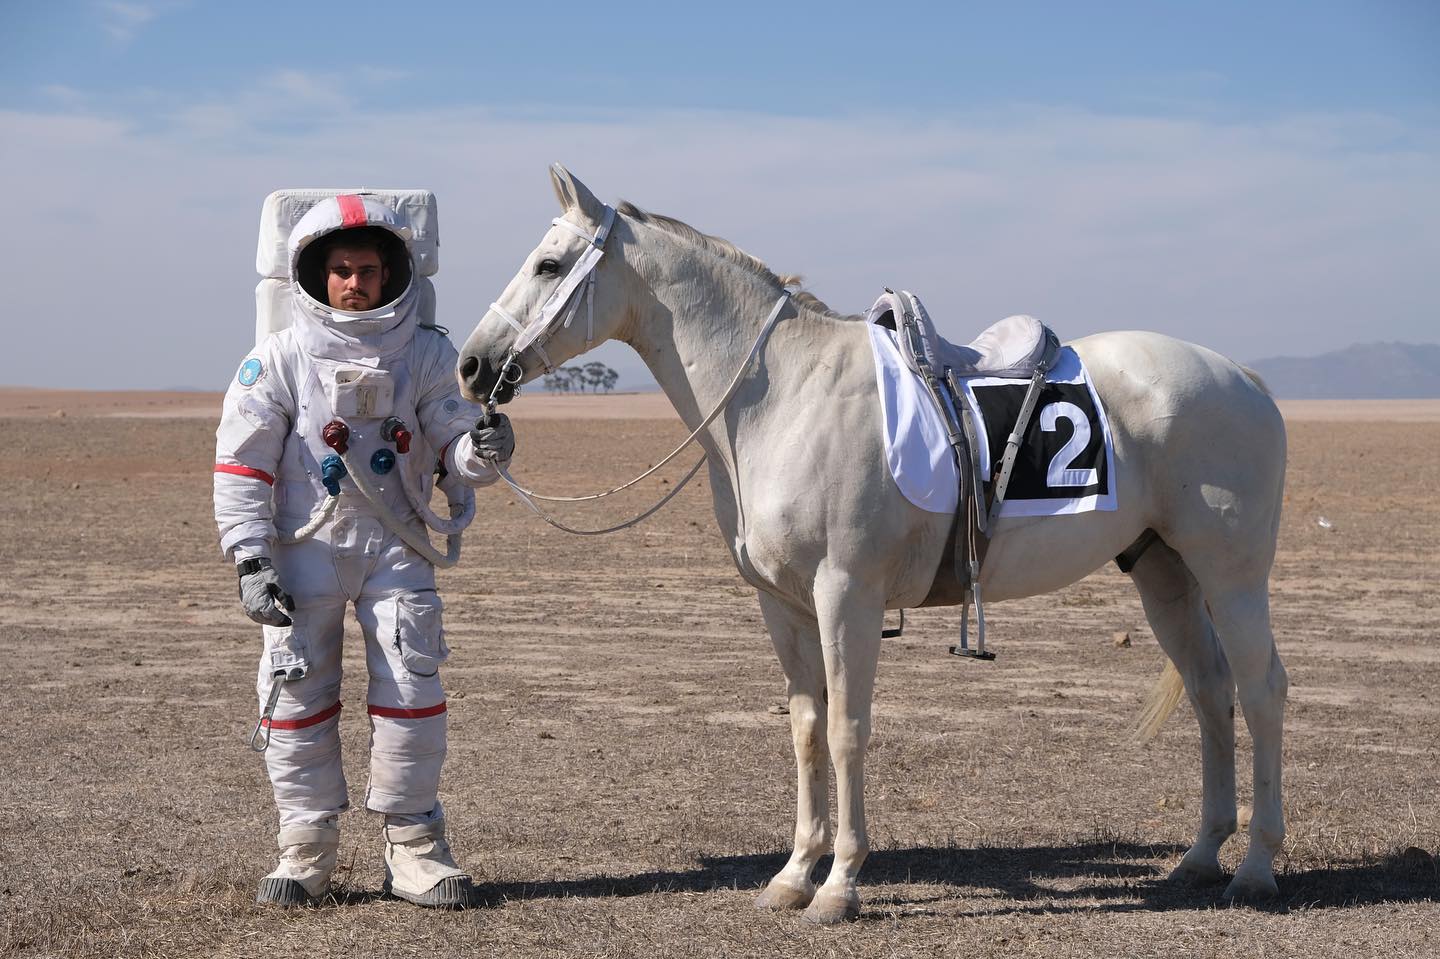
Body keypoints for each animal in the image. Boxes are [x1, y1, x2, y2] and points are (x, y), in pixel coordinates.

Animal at [455, 164, 1290, 921]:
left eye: (549, 264)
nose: (471, 365)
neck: (784, 395)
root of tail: (1244, 377)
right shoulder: (784, 606)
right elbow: (806, 730)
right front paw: (795, 873)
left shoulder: (845, 595)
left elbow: (849, 730)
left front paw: (840, 884)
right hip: (1165, 572)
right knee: (1211, 691)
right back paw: (1200, 857)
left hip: (1232, 576)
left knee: (1261, 691)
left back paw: (1255, 868)